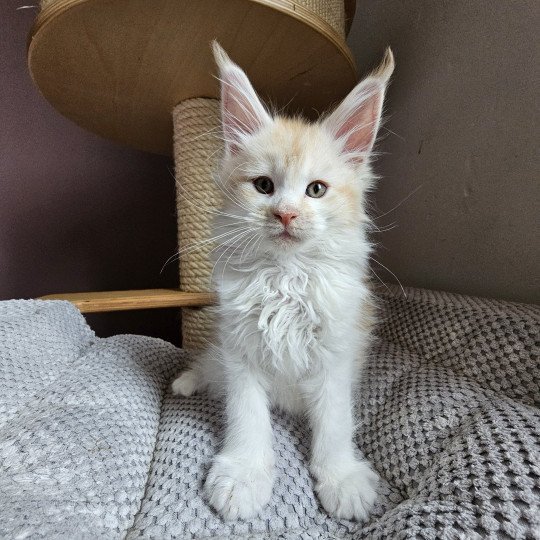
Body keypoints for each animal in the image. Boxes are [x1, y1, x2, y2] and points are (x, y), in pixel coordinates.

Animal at [173, 43, 396, 524]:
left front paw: (342, 478)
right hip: (220, 353)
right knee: (209, 367)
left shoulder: (336, 356)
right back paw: (186, 382)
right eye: (263, 186)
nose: (286, 214)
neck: (286, 278)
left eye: (316, 190)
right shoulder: (239, 353)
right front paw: (244, 476)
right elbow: (247, 418)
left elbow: (334, 424)